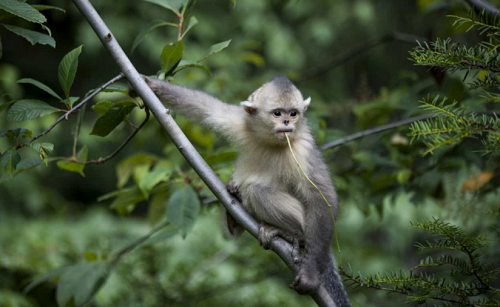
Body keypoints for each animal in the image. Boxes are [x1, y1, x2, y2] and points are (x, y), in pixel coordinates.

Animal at [141, 75, 352, 307]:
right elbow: (206, 107)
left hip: (306, 223)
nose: (287, 123)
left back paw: (291, 233)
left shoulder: (303, 150)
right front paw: (151, 85)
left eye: (293, 113)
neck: (271, 141)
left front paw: (311, 275)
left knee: (256, 189)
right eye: (278, 113)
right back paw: (233, 210)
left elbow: (324, 198)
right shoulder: (240, 122)